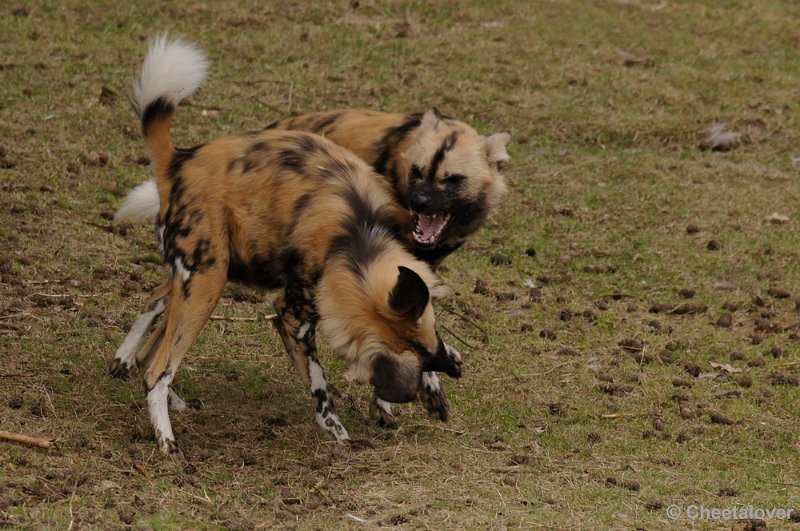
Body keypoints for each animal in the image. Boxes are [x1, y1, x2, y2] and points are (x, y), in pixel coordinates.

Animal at [113, 35, 462, 456]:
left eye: (429, 343)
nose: (456, 366)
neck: (357, 237)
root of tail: (180, 159)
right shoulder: (292, 317)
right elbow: (321, 386)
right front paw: (340, 434)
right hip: (207, 282)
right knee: (158, 368)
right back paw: (168, 440)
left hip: (205, 274)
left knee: (153, 327)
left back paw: (150, 381)